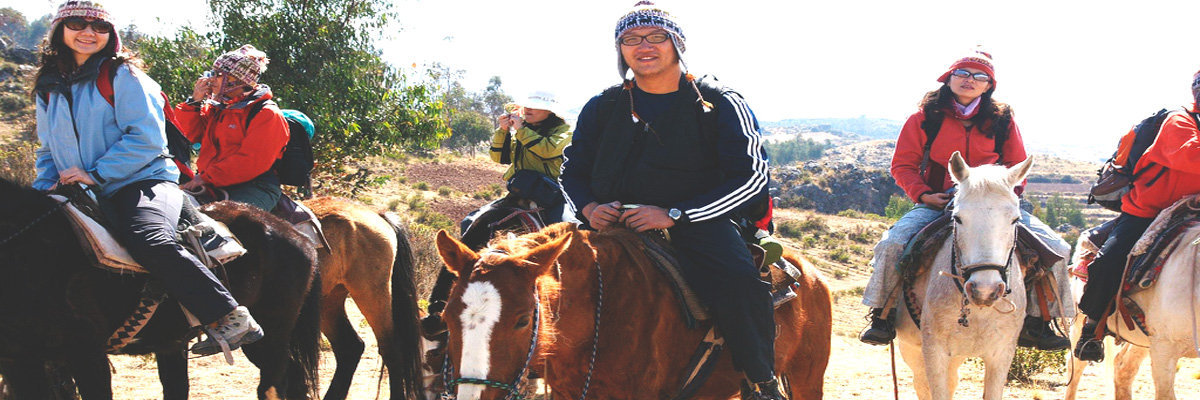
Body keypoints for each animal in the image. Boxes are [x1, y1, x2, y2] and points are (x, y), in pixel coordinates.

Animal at [897, 151, 1036, 396]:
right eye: (958, 218)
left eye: (1015, 219)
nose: (985, 290)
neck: (978, 311)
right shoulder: (934, 353)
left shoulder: (1001, 355)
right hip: (912, 351)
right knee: (921, 384)